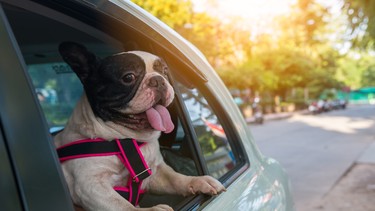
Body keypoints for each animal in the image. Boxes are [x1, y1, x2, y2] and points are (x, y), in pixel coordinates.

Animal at [53, 41, 226, 211]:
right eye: (128, 77)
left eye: (164, 71)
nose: (159, 80)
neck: (125, 140)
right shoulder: (90, 186)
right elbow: (123, 206)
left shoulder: (155, 173)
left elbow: (176, 179)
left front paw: (199, 181)